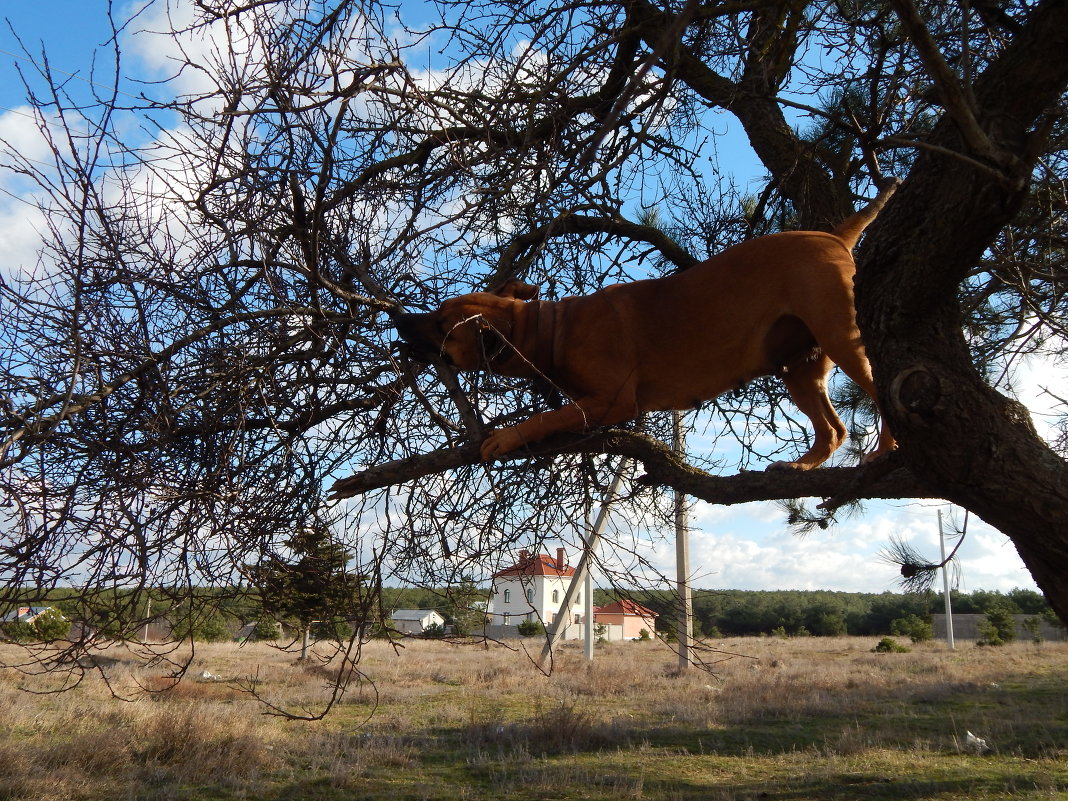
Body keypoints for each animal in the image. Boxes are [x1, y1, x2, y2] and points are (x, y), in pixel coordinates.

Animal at [397, 184, 897, 467]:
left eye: (441, 324)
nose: (398, 320)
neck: (549, 330)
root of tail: (832, 236)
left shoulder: (613, 401)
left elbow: (546, 415)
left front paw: (505, 436)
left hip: (843, 337)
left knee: (880, 392)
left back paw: (885, 449)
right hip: (799, 365)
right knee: (834, 431)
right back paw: (799, 466)